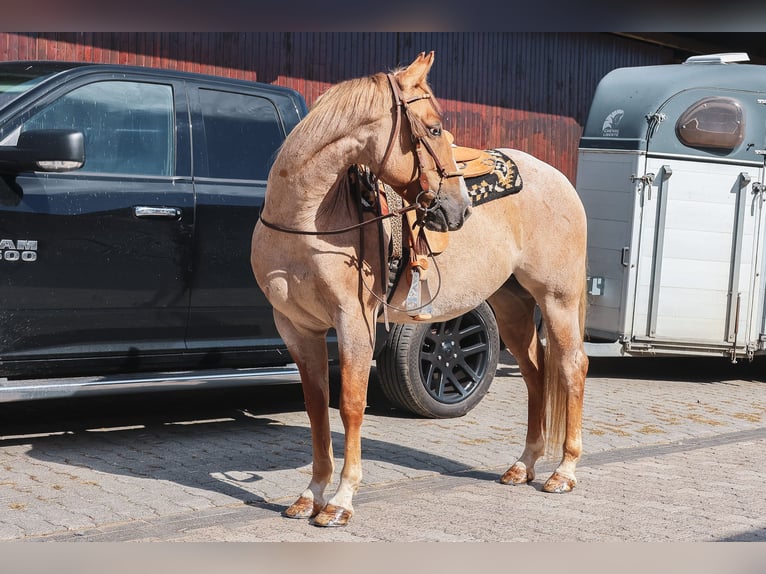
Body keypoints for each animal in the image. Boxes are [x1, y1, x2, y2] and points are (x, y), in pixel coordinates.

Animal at [251, 51, 589, 527]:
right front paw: (311, 494)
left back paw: (564, 471)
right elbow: (316, 407)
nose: (458, 209)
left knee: (572, 366)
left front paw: (340, 500)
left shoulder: (354, 323)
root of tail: (559, 178)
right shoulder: (297, 328)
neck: (305, 222)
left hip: (558, 299)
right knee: (536, 373)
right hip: (513, 307)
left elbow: (350, 404)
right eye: (432, 129)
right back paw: (524, 464)